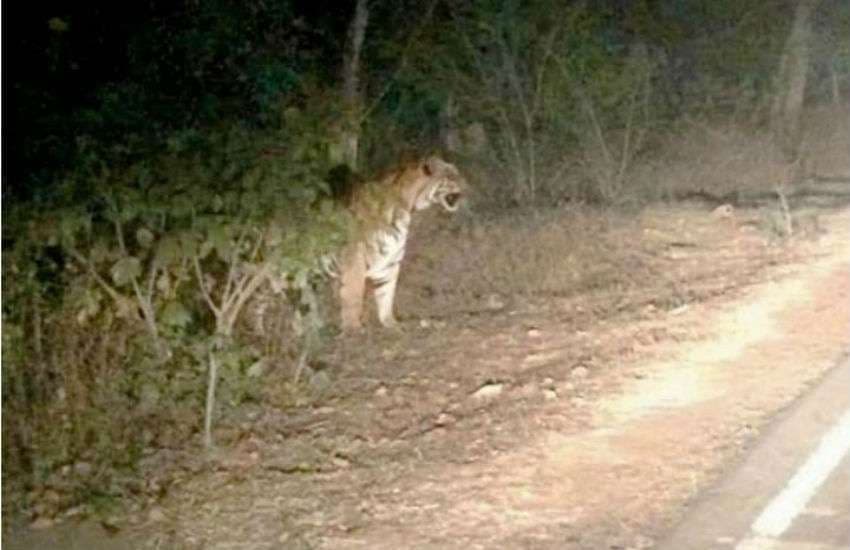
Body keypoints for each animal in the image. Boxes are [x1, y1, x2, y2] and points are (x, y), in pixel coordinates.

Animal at [332, 155, 468, 332]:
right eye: (451, 177)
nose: (467, 186)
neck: (408, 206)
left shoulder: (389, 260)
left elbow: (386, 293)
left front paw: (390, 323)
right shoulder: (355, 257)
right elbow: (353, 293)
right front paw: (353, 329)